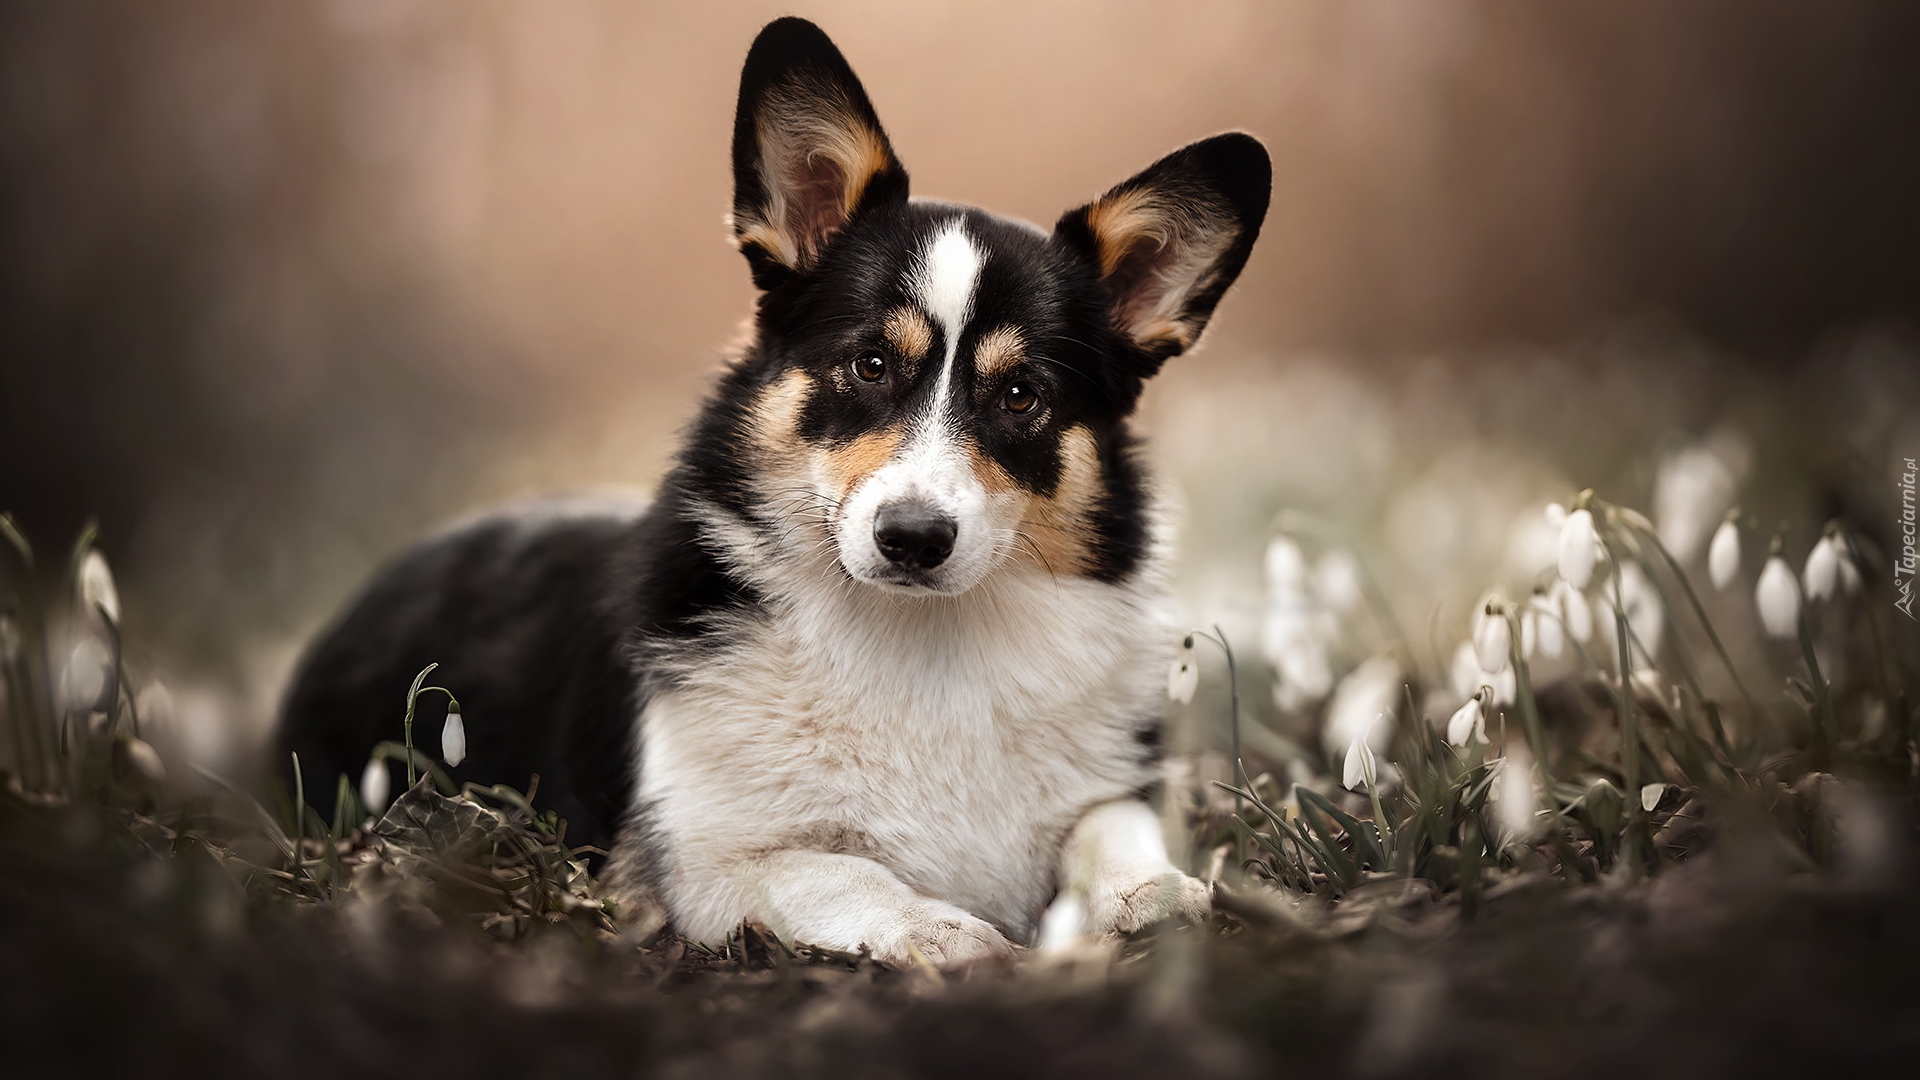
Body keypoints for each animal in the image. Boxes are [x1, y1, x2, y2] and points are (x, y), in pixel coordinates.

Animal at [278, 14, 1267, 957]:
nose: (913, 539)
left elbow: (1115, 827)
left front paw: (1150, 893)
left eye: (1022, 396)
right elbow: (838, 870)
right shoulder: (699, 864)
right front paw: (936, 929)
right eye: (870, 364)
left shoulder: (1112, 789)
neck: (925, 640)